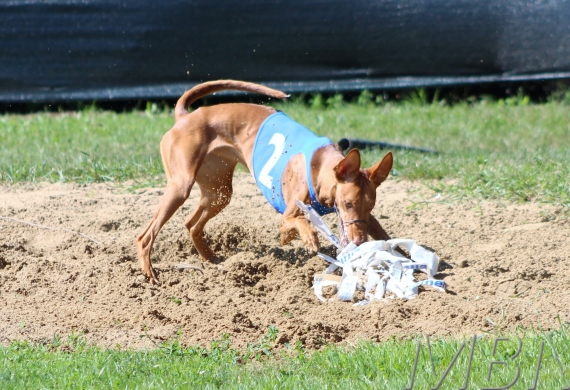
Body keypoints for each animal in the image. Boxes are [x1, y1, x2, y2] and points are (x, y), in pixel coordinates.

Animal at [134, 80, 390, 284]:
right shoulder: (287, 215)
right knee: (145, 237)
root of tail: (185, 117)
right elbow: (298, 222)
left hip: (219, 191)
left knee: (191, 225)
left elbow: (386, 238)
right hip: (180, 187)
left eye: (370, 206)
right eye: (348, 204)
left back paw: (211, 260)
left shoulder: (368, 220)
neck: (319, 167)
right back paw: (150, 273)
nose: (359, 241)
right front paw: (309, 238)